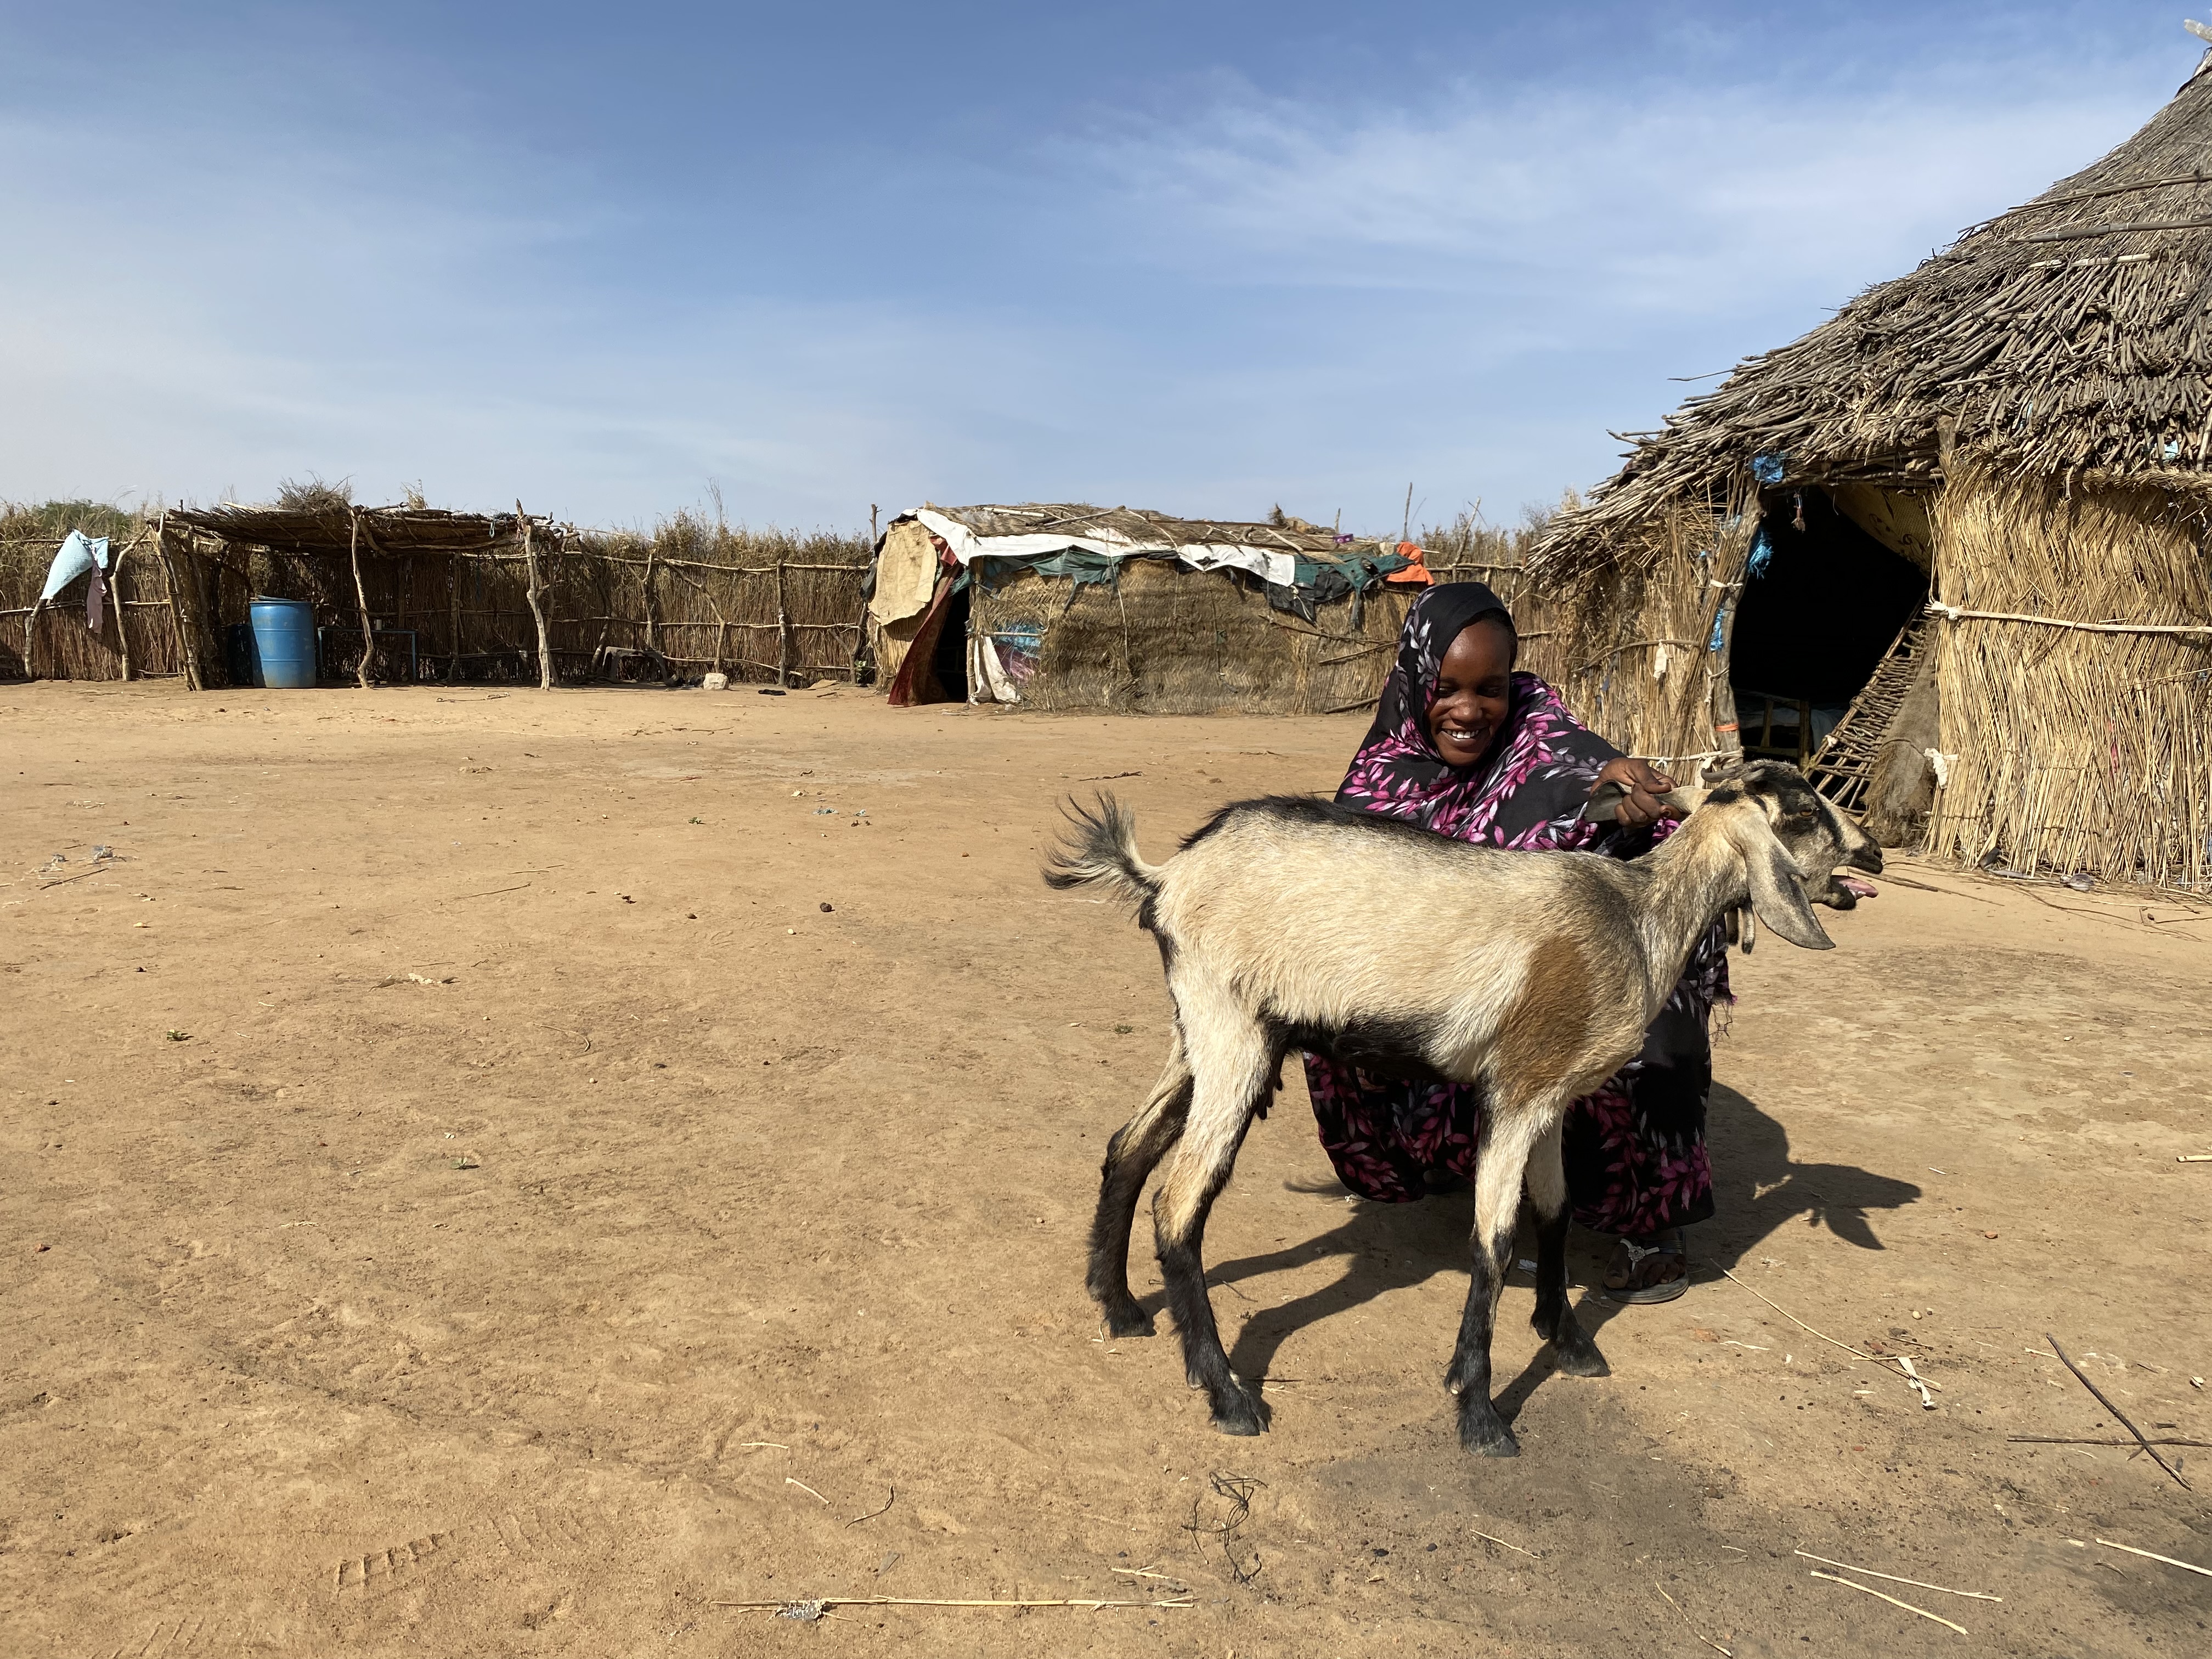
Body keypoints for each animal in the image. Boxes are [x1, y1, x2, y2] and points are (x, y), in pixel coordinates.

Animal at [1044, 761, 1876, 1460]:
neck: (1637, 921)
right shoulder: (1517, 1090)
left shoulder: (1553, 1096)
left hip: (1202, 1035)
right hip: (1232, 1032)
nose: (1872, 856)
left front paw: (1567, 1340)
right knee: (1181, 1199)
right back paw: (1226, 1394)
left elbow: (1556, 1209)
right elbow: (1495, 1242)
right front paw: (1479, 1412)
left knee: (1129, 1144)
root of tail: (1168, 874)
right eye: (1806, 811)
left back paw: (1120, 1308)